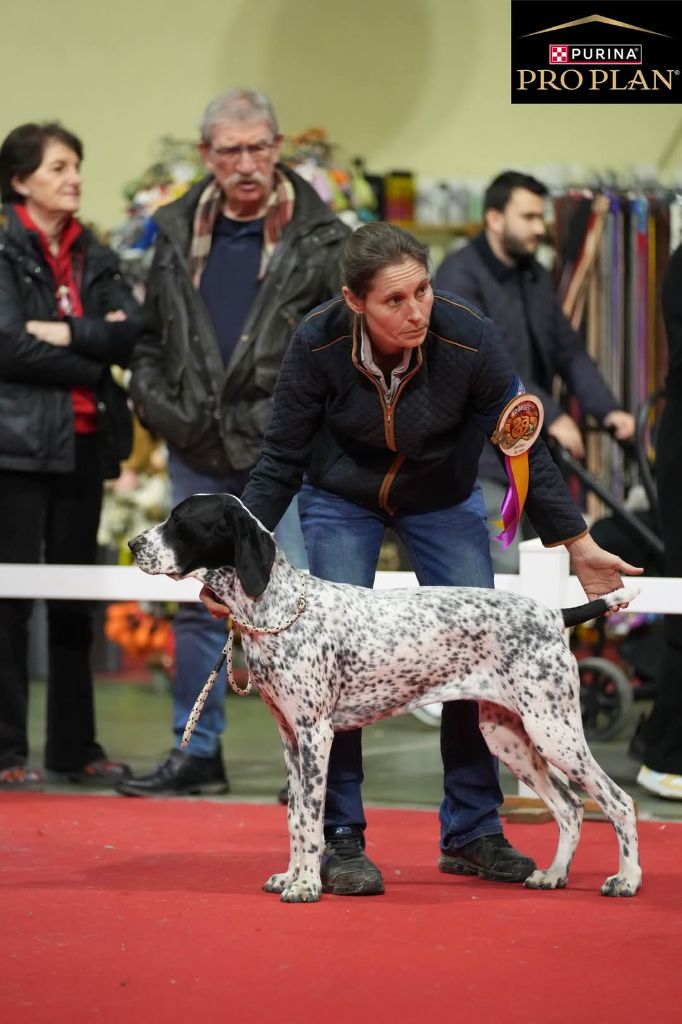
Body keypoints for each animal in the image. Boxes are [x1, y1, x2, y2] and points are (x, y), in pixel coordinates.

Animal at [129, 491, 643, 901]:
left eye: (181, 521)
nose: (133, 544)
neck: (278, 609)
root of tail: (555, 614)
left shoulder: (315, 736)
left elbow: (311, 821)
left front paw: (307, 886)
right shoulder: (290, 740)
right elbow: (294, 819)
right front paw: (291, 876)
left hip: (553, 730)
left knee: (617, 801)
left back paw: (627, 880)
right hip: (510, 737)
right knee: (570, 807)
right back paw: (553, 875)